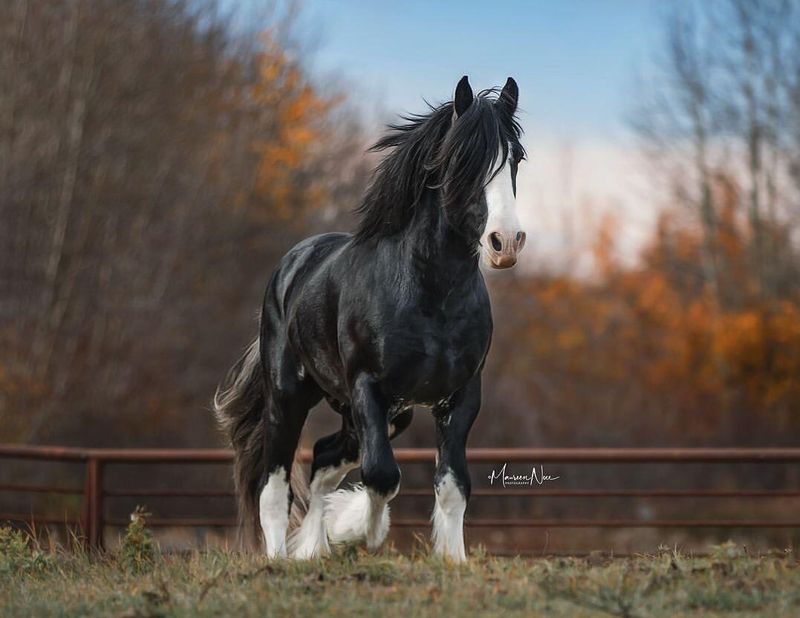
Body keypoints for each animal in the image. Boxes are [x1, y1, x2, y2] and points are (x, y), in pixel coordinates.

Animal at [214, 76, 524, 560]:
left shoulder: (460, 396)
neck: (430, 297)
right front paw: (365, 534)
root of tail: (292, 265)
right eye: (463, 159)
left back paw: (313, 549)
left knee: (323, 459)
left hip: (382, 414)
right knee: (274, 485)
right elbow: (382, 473)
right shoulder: (368, 387)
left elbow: (453, 486)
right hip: (290, 397)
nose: (505, 243)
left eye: (516, 159)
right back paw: (281, 560)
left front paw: (452, 559)